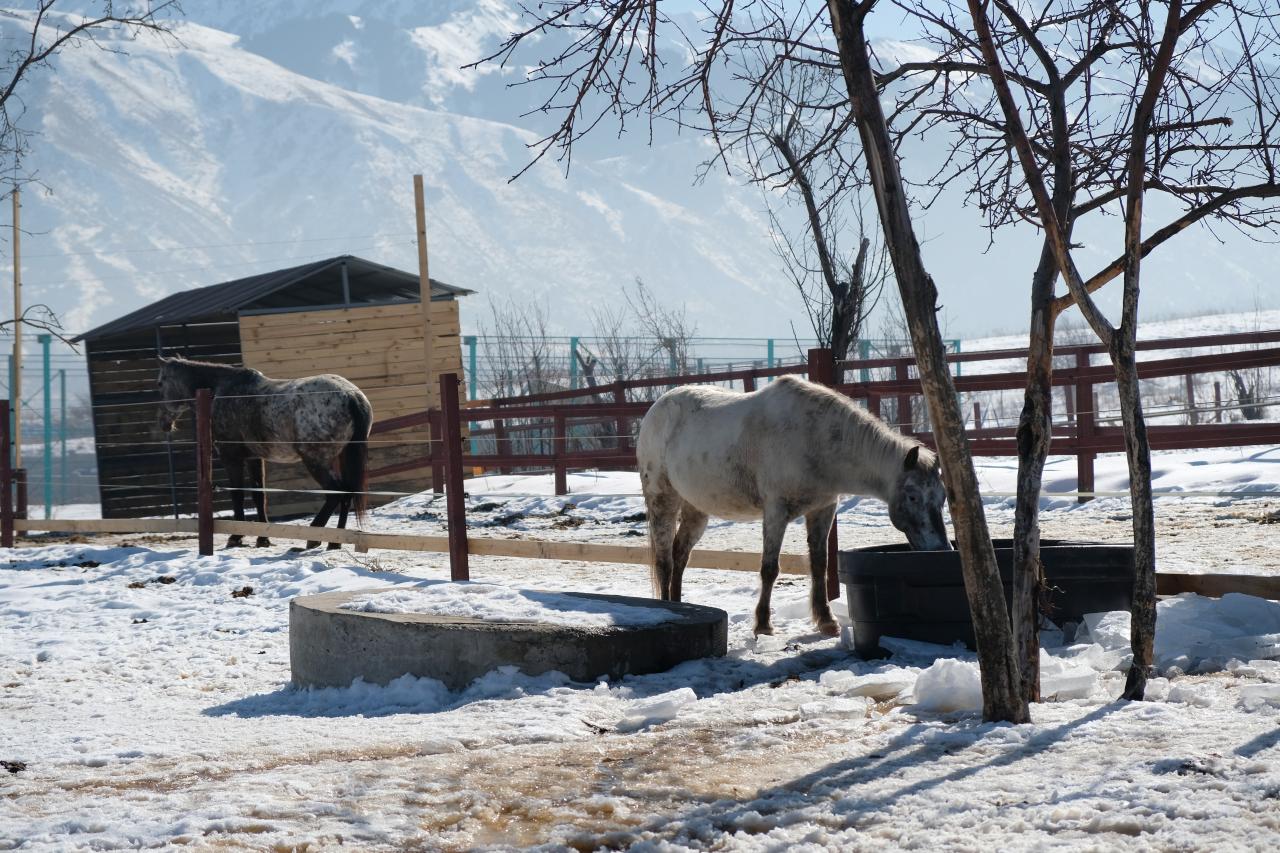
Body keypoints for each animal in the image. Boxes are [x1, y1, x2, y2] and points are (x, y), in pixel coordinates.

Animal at [156, 356, 373, 550]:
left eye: (160, 383)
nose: (164, 423)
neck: (220, 391)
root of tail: (351, 396)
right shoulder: (254, 458)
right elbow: (259, 496)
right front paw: (262, 539)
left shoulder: (231, 457)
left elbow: (238, 495)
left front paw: (235, 537)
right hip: (339, 457)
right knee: (347, 493)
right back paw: (335, 541)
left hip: (316, 460)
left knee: (336, 492)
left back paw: (314, 537)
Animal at [636, 375, 951, 637]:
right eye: (913, 496)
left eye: (942, 498)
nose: (941, 549)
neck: (815, 439)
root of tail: (656, 409)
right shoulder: (776, 511)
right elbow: (769, 568)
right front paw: (763, 624)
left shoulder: (823, 509)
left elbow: (820, 564)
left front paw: (827, 622)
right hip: (662, 499)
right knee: (664, 561)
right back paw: (669, 608)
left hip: (696, 509)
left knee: (679, 555)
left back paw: (681, 607)